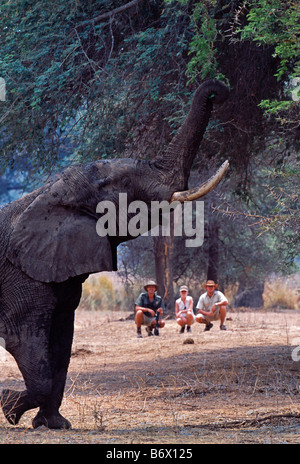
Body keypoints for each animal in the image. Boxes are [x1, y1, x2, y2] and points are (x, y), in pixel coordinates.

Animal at [0, 78, 230, 430]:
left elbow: (61, 342)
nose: (220, 89)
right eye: (121, 186)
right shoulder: (21, 274)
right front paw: (9, 408)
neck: (47, 192)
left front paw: (54, 424)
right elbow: (23, 339)